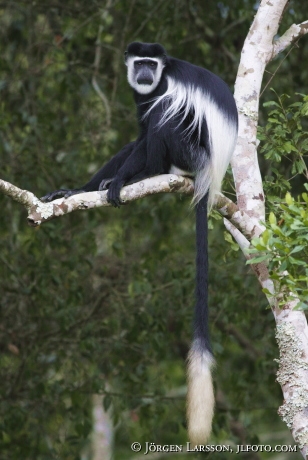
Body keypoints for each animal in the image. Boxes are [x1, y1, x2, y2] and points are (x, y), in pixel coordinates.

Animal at [41, 41, 238, 444]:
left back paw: (146, 174)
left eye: (151, 64)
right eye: (139, 64)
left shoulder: (163, 90)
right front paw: (78, 190)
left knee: (165, 119)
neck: (160, 77)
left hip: (191, 149)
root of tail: (209, 175)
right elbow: (136, 138)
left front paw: (120, 181)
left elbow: (150, 131)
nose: (145, 74)